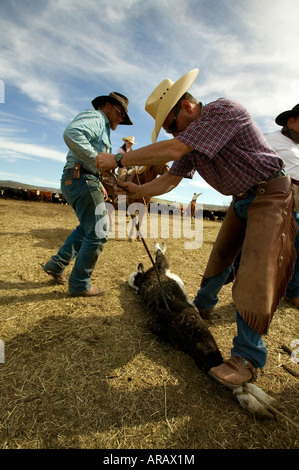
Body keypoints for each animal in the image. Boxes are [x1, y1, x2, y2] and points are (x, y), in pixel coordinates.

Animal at [129, 244, 225, 372]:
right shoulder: (160, 265)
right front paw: (159, 245)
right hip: (199, 329)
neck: (143, 279)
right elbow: (159, 254)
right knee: (211, 357)